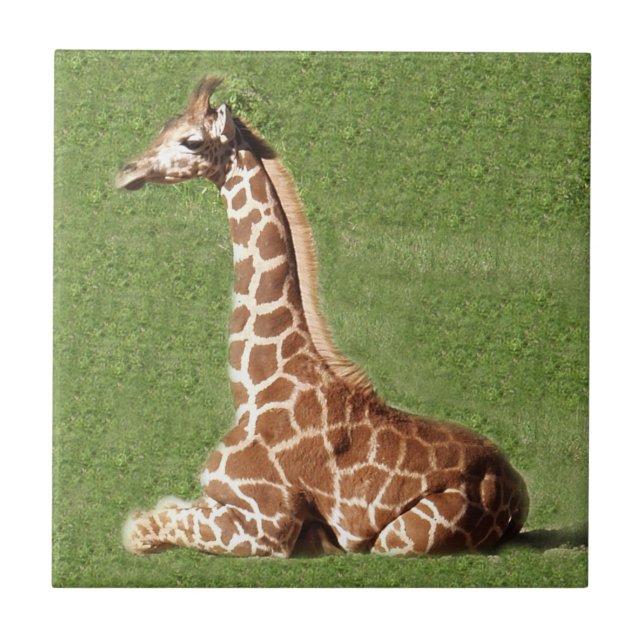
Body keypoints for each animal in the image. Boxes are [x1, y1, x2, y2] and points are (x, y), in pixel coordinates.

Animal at [116, 77, 529, 557]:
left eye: (192, 141)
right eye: (163, 127)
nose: (126, 172)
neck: (253, 387)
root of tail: (517, 489)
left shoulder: (267, 525)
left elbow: (140, 528)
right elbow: (159, 511)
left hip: (398, 539)